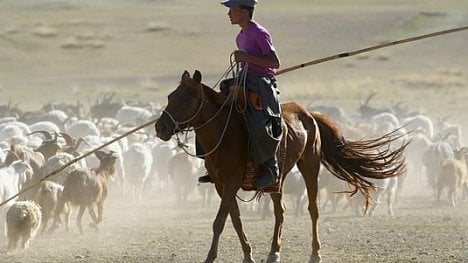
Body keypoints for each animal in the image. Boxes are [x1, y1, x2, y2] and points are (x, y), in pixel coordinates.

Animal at [155, 70, 408, 263]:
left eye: (185, 99)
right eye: (169, 96)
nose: (160, 127)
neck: (224, 133)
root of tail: (309, 114)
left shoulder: (231, 182)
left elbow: (219, 222)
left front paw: (210, 257)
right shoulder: (220, 184)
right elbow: (235, 220)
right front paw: (248, 255)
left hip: (310, 166)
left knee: (313, 209)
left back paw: (315, 253)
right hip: (277, 178)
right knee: (281, 210)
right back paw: (274, 252)